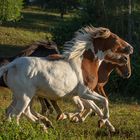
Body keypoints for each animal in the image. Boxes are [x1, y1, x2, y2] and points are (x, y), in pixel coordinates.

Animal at [0, 25, 133, 132]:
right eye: (116, 39)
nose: (130, 48)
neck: (84, 64)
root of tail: (11, 65)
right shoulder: (85, 92)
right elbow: (103, 102)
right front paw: (99, 121)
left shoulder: (76, 95)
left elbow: (87, 107)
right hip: (25, 96)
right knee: (17, 115)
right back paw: (29, 129)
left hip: (21, 96)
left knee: (11, 112)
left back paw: (42, 126)